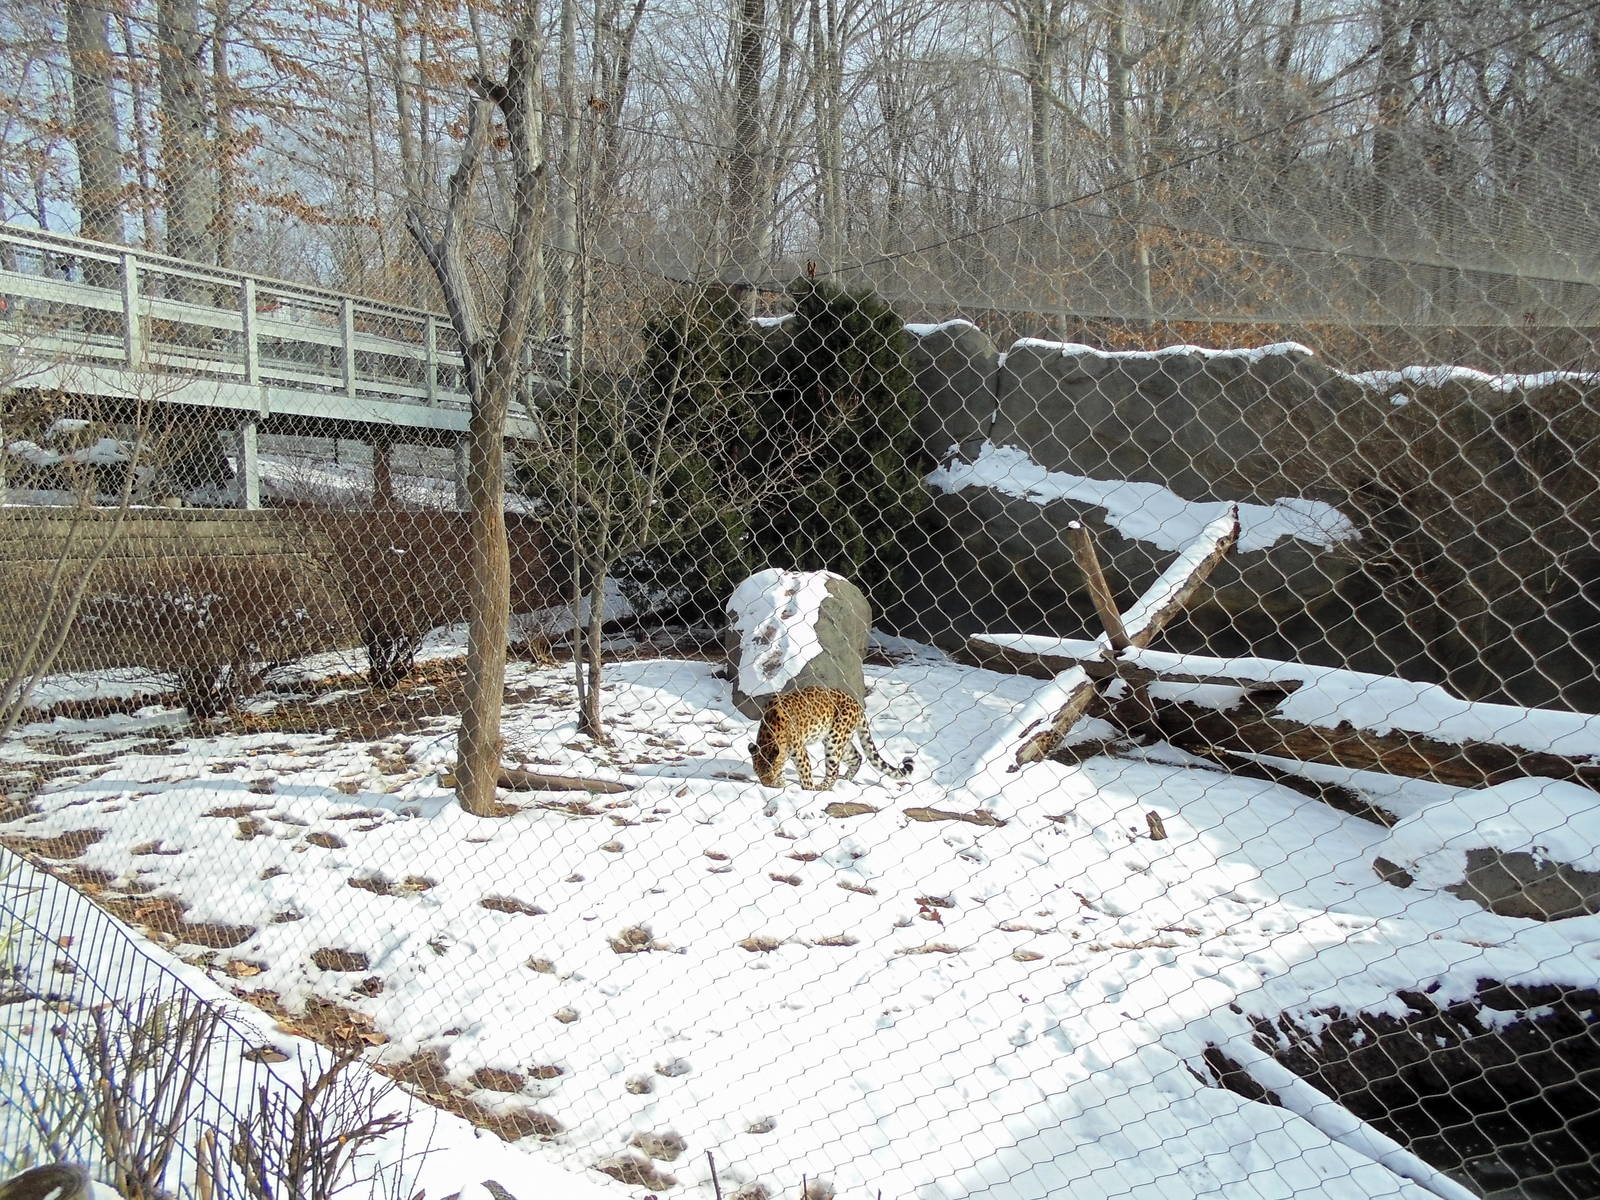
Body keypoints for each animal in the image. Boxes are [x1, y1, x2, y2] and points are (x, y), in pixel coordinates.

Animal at [749, 686, 914, 790]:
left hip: (835, 741)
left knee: (833, 771)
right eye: (758, 774)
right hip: (839, 741)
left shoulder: (800, 751)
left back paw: (822, 787)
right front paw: (781, 782)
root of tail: (856, 703)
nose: (767, 784)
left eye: (769, 773)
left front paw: (808, 790)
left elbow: (805, 773)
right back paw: (846, 780)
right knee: (857, 757)